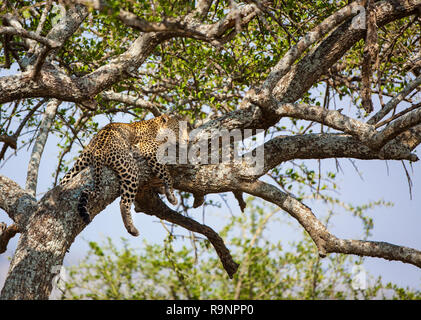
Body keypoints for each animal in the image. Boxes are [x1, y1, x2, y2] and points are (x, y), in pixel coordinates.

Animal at [59, 114, 187, 236]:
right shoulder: (150, 150)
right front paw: (171, 196)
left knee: (63, 182)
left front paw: (161, 189)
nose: (187, 140)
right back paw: (131, 228)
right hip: (131, 168)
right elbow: (167, 174)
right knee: (124, 202)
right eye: (177, 129)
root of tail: (99, 149)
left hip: (79, 164)